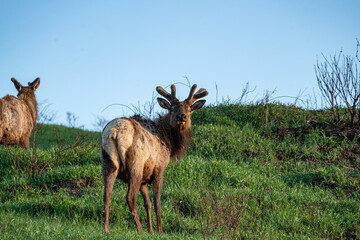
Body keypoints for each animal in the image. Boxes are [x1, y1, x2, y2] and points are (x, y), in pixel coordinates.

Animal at [101, 83, 208, 233]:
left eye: (189, 109)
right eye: (172, 108)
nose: (182, 116)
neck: (169, 143)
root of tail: (116, 131)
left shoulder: (144, 179)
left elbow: (148, 204)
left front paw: (151, 231)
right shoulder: (158, 170)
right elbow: (157, 203)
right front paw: (159, 230)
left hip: (108, 162)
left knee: (106, 195)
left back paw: (106, 229)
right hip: (135, 165)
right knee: (129, 197)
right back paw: (139, 229)